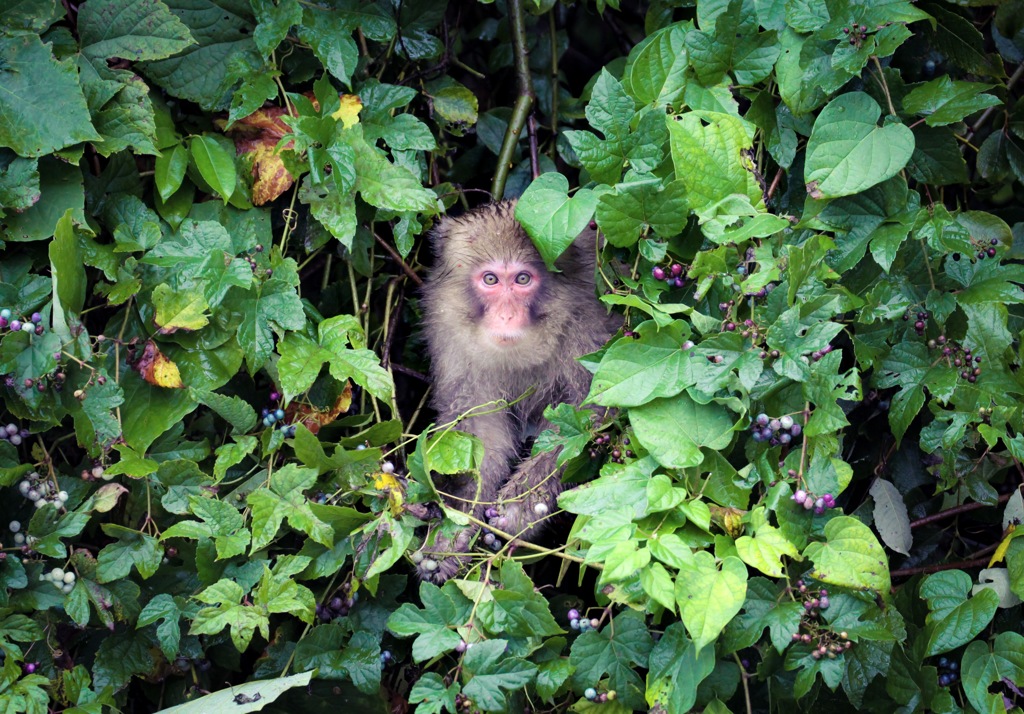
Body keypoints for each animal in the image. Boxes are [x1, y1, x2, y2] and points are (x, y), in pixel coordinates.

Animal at [413, 200, 614, 577]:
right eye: (490, 279)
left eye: (522, 279)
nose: (506, 316)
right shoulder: (450, 336)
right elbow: (480, 434)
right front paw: (451, 532)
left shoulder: (590, 327)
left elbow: (585, 415)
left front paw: (521, 507)